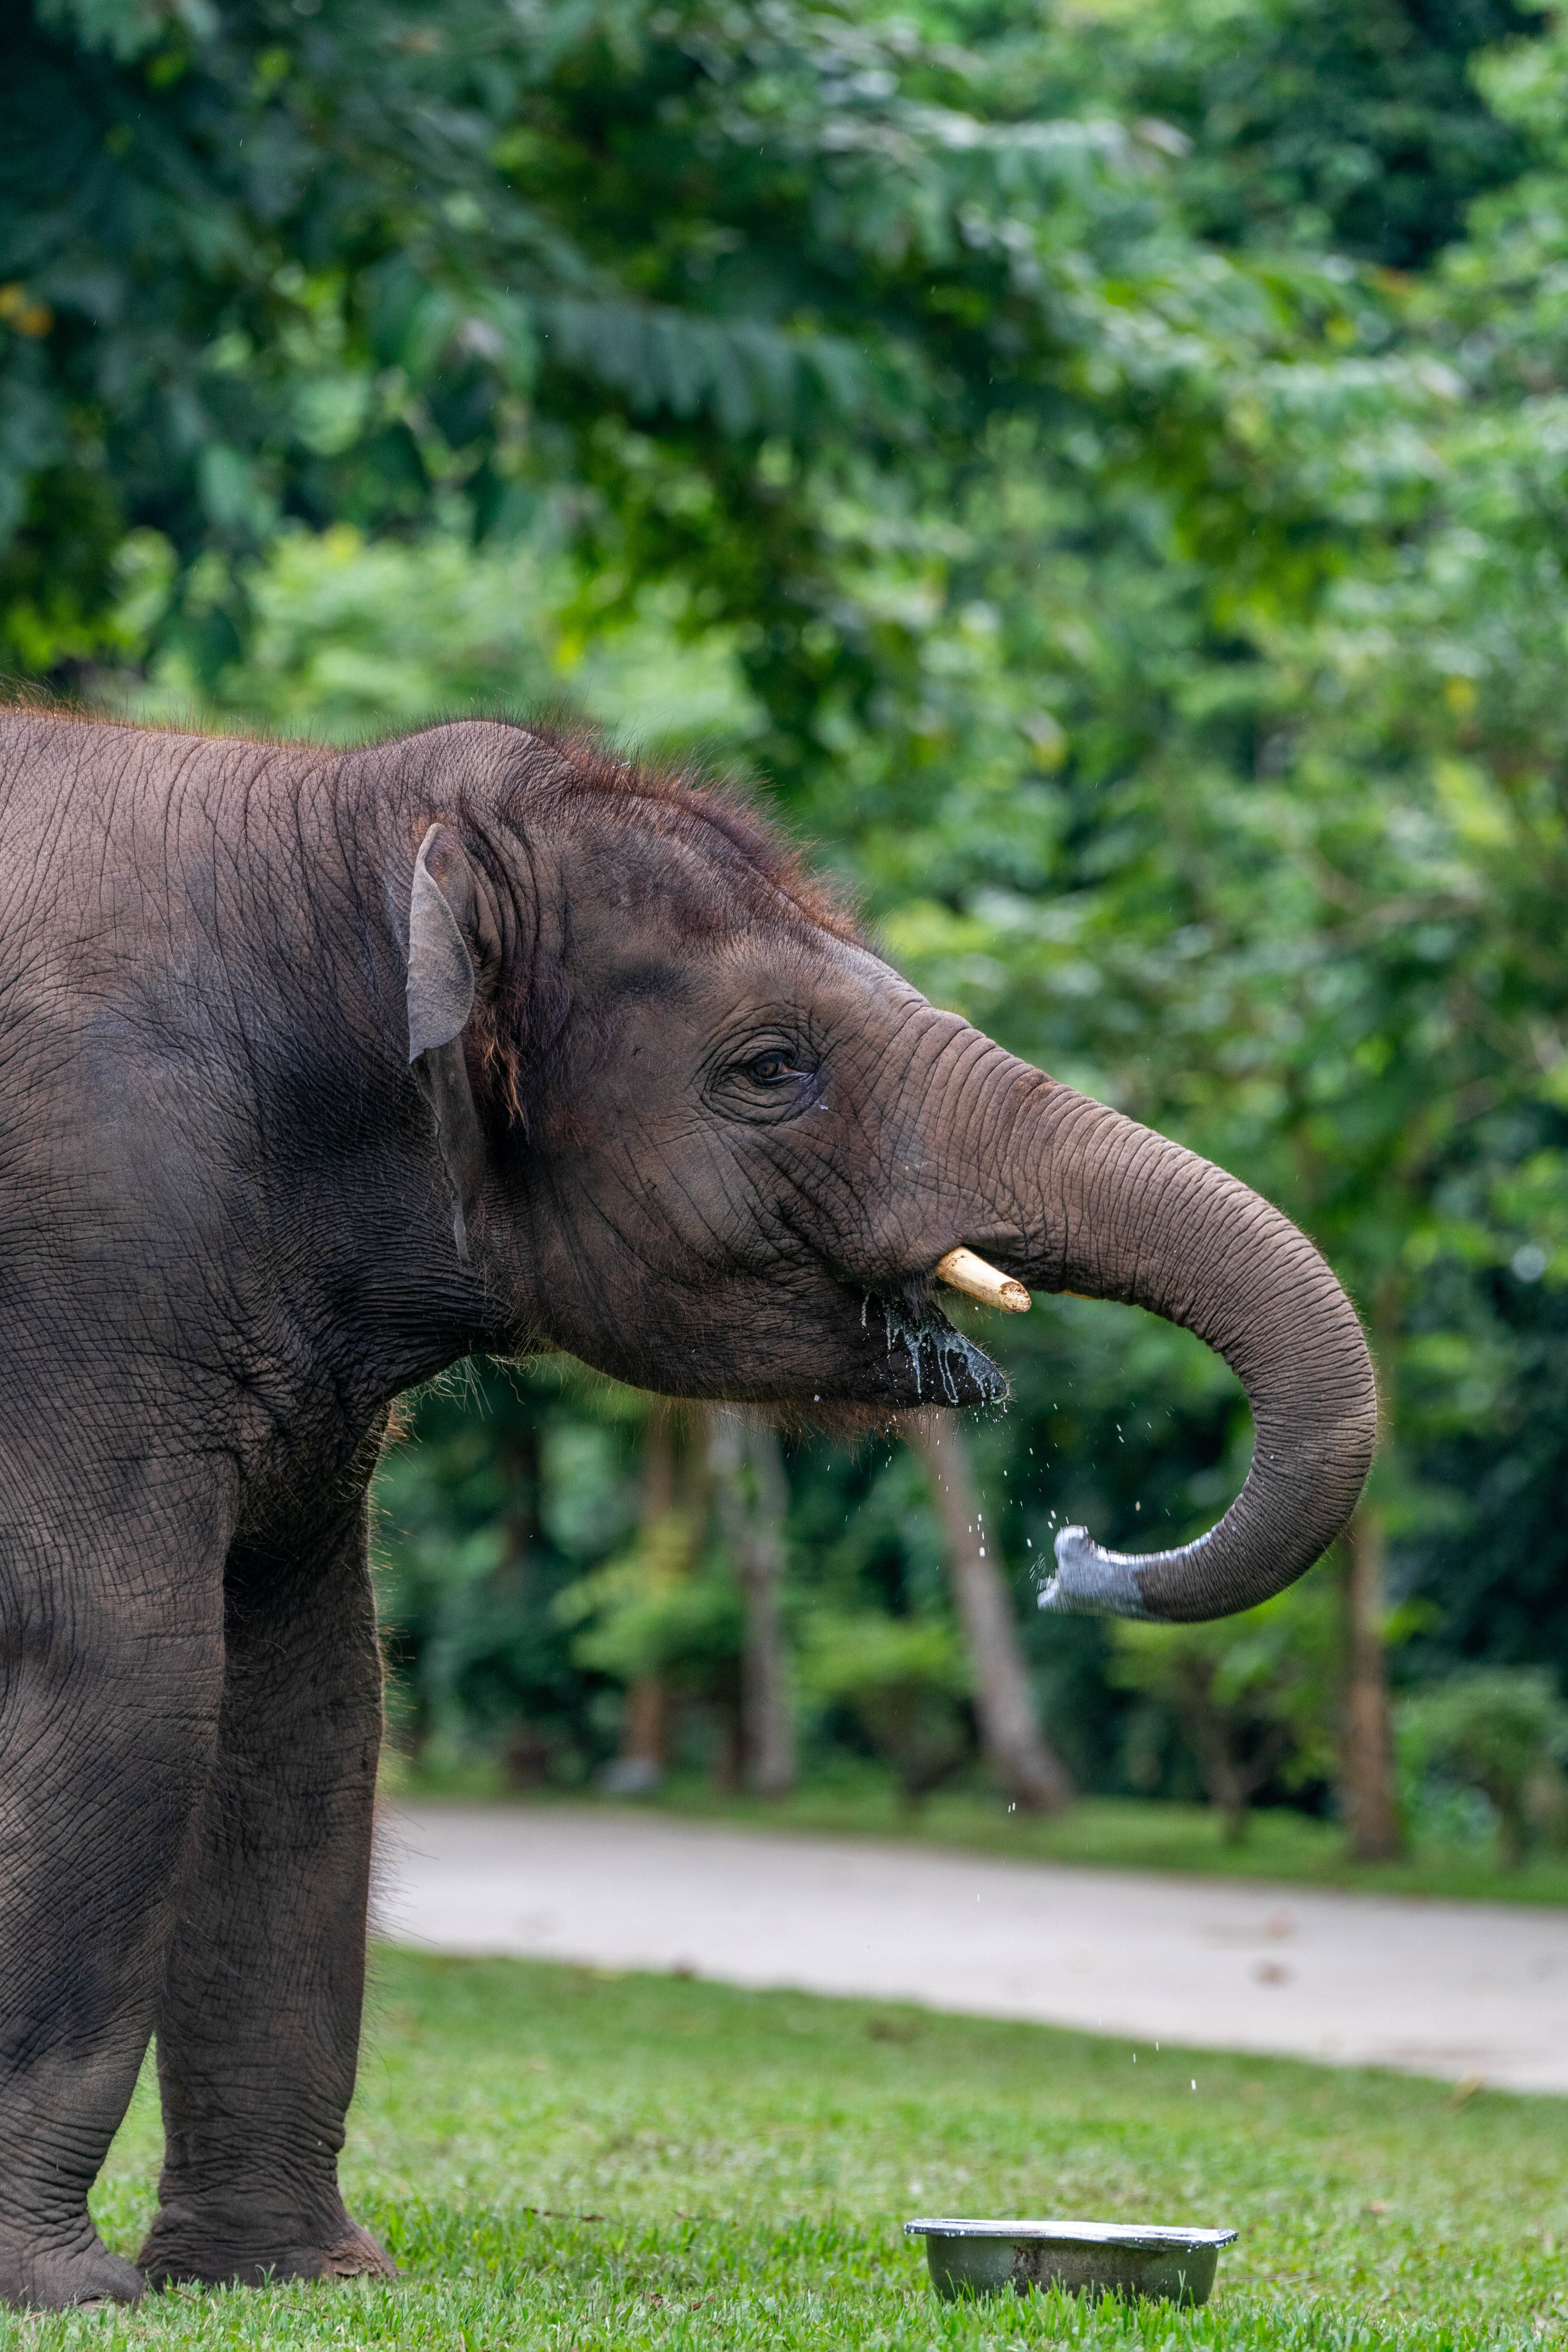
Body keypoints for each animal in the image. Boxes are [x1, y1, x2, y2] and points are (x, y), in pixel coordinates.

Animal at [0, 706, 1373, 2305]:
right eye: (770, 1066)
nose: (1082, 1553)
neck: (336, 816)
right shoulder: (84, 1257)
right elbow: (131, 1678)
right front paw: (69, 2296)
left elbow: (311, 1705)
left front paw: (302, 2280)